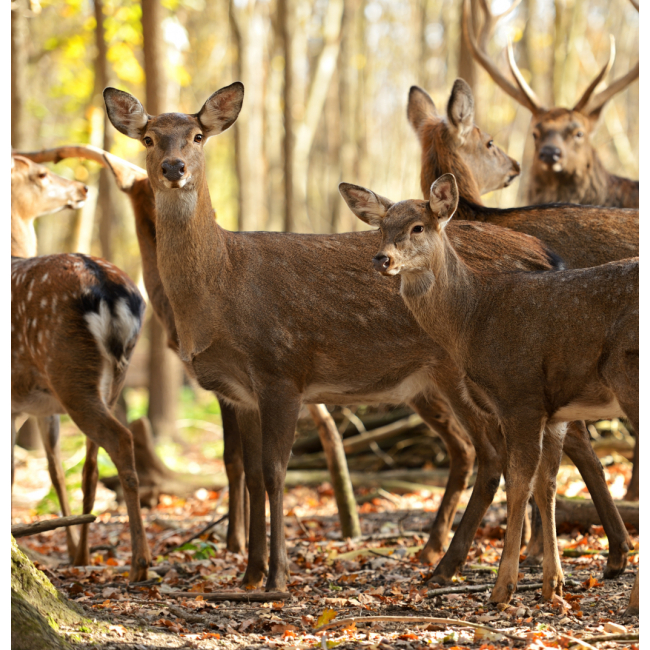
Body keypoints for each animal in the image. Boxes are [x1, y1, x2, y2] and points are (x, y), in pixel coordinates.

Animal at [11, 249, 149, 576]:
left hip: (68, 368)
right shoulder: (36, 408)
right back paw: (83, 555)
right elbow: (54, 471)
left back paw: (139, 563)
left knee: (120, 439)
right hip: (113, 381)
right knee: (91, 467)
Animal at [342, 172, 636, 608]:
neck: (474, 318)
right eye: (382, 227)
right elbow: (547, 485)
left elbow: (519, 484)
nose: (382, 259)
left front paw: (503, 588)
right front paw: (552, 586)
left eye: (418, 227)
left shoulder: (520, 396)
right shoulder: (554, 413)